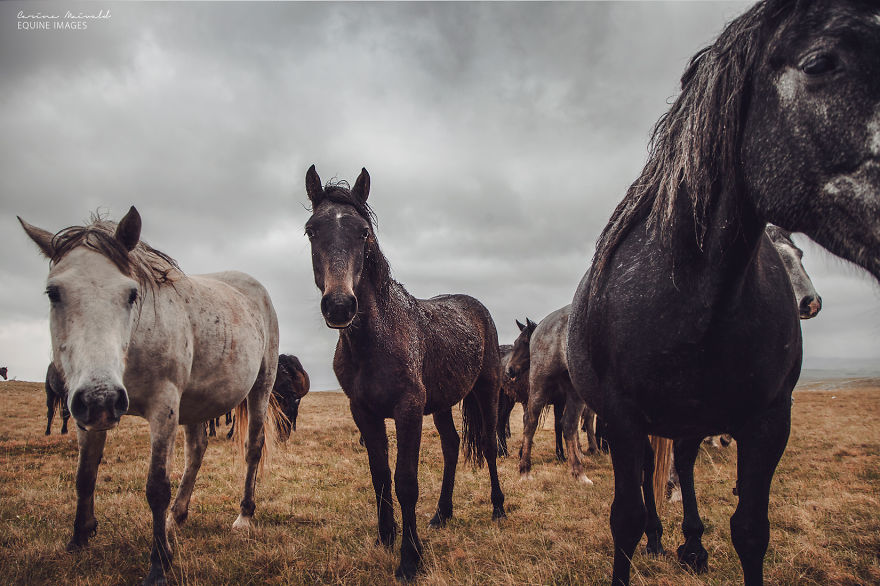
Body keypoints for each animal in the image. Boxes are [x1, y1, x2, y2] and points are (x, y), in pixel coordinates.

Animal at [19, 207, 281, 585]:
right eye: (54, 293)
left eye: (131, 294)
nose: (102, 397)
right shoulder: (85, 411)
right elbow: (85, 475)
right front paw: (79, 538)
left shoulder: (163, 407)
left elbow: (156, 487)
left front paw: (159, 564)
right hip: (196, 403)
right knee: (196, 451)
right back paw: (177, 517)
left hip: (260, 387)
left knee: (253, 448)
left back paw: (243, 516)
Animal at [304, 165, 506, 580]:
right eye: (311, 230)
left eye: (363, 232)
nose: (339, 305)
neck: (375, 341)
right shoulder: (363, 412)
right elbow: (379, 476)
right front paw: (386, 537)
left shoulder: (408, 410)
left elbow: (405, 483)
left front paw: (410, 558)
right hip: (442, 404)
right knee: (452, 446)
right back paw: (442, 514)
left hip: (487, 390)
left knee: (489, 445)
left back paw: (497, 507)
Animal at [566, 2, 880, 584]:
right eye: (819, 63)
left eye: (800, 256)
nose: (809, 304)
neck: (688, 298)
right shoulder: (621, 418)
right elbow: (625, 517)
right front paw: (646, 536)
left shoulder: (769, 420)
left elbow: (750, 529)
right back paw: (665, 537)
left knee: (684, 466)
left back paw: (691, 542)